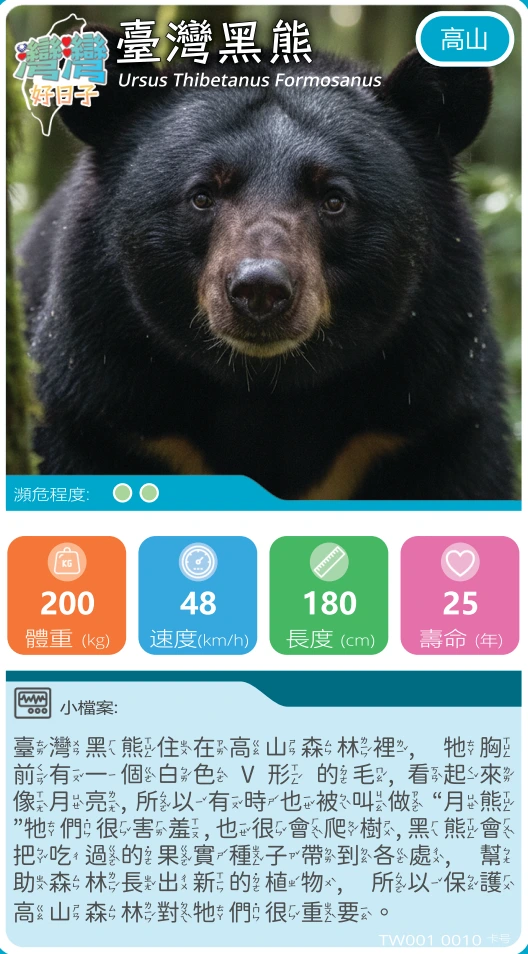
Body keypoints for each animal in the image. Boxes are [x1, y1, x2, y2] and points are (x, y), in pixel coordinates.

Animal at [18, 28, 516, 499]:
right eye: (202, 195)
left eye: (334, 199)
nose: (260, 289)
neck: (265, 391)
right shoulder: (103, 404)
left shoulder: (428, 418)